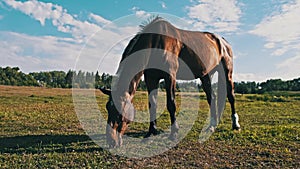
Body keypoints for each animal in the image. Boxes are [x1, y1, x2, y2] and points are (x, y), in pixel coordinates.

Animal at [99, 16, 240, 147]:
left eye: (120, 112)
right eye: (108, 108)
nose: (111, 142)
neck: (155, 42)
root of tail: (223, 42)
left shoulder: (170, 76)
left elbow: (171, 104)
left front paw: (174, 133)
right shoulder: (151, 78)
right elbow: (152, 104)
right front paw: (151, 132)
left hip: (227, 72)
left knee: (231, 96)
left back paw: (235, 124)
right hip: (206, 75)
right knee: (212, 97)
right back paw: (212, 125)